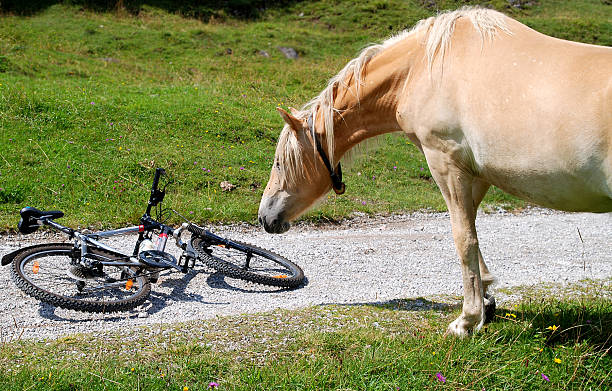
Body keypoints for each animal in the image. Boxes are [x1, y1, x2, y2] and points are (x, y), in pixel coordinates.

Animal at [256, 6, 608, 336]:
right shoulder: (475, 173)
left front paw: (468, 320)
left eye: (279, 163)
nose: (264, 217)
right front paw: (485, 297)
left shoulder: (445, 163)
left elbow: (463, 238)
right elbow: (471, 229)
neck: (419, 69)